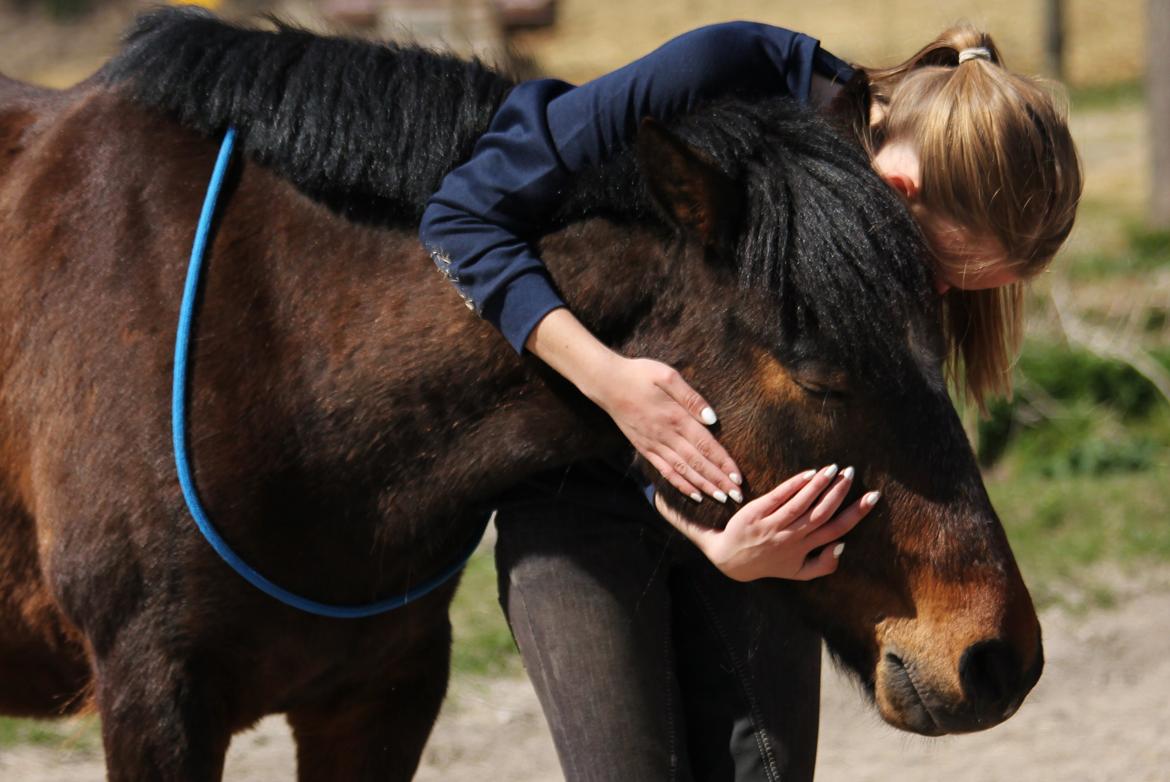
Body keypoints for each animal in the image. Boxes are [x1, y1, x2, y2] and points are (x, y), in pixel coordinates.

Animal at [0, 7, 1043, 782]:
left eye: (936, 341)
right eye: (822, 368)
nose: (999, 658)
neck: (275, 340)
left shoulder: (382, 695)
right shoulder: (156, 698)